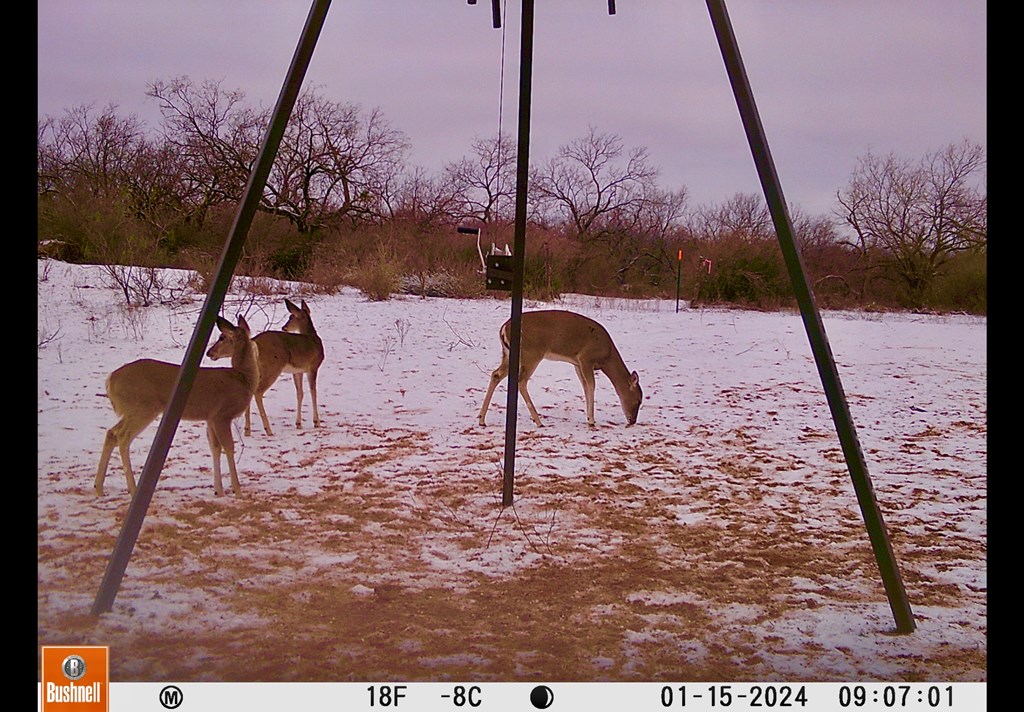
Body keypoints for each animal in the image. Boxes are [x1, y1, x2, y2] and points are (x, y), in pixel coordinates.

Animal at [95, 315, 260, 497]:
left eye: (222, 337)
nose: (209, 352)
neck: (242, 379)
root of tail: (110, 380)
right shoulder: (222, 415)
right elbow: (229, 448)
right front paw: (237, 491)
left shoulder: (210, 418)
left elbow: (215, 448)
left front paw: (219, 490)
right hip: (143, 407)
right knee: (123, 437)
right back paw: (132, 488)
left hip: (132, 410)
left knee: (111, 433)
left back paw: (99, 488)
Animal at [218, 297, 321, 436]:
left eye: (291, 317)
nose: (284, 327)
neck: (312, 338)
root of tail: (254, 343)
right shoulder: (313, 366)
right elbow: (313, 391)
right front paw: (317, 422)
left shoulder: (297, 371)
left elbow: (300, 393)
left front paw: (299, 423)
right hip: (271, 367)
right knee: (258, 391)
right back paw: (267, 429)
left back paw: (247, 430)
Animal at [477, 307, 638, 428]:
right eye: (638, 401)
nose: (632, 421)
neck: (607, 356)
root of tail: (504, 328)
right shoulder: (586, 358)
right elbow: (591, 386)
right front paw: (592, 420)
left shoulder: (577, 364)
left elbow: (585, 387)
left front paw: (588, 418)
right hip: (531, 353)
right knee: (521, 381)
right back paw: (539, 421)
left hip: (509, 354)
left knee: (496, 374)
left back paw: (481, 419)